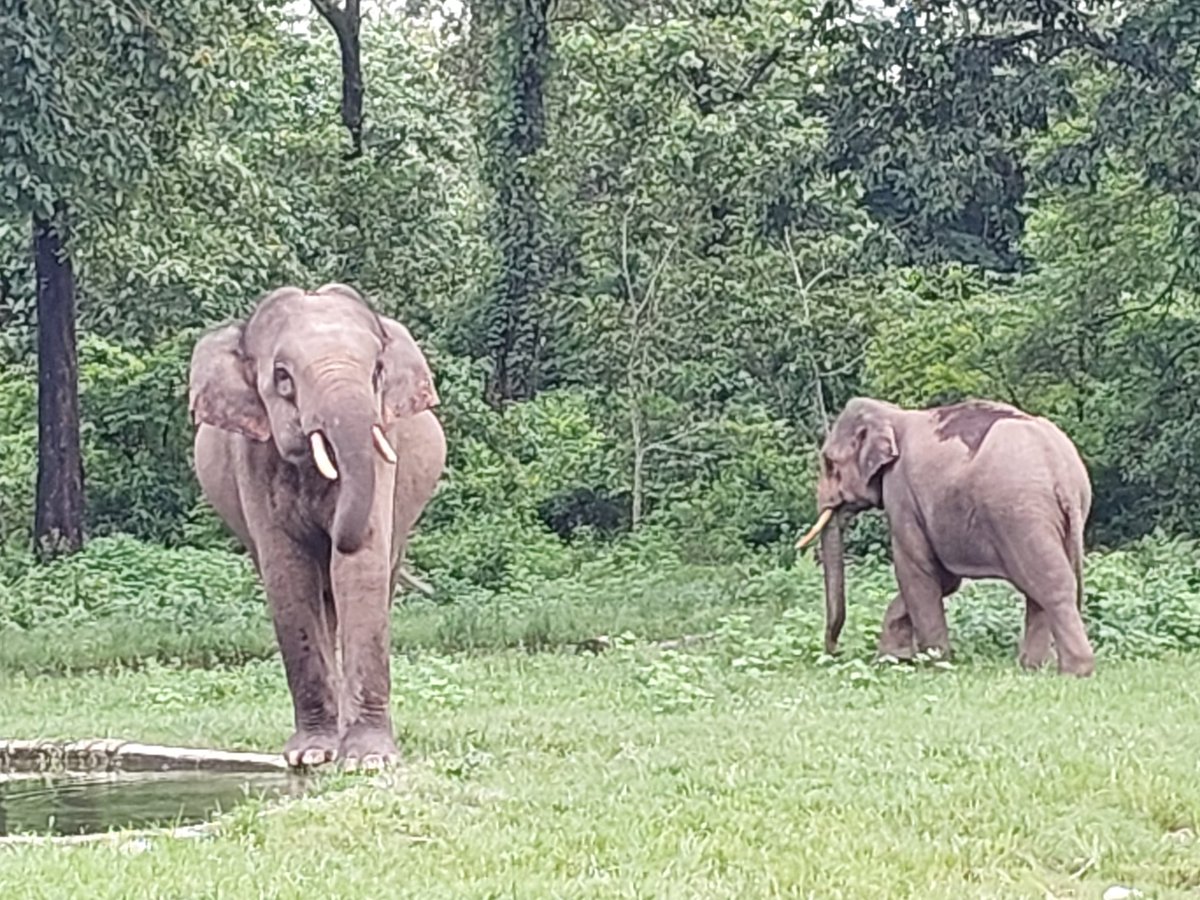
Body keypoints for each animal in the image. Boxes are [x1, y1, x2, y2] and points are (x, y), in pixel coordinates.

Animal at [188, 283, 446, 768]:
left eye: (377, 371)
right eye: (282, 377)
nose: (332, 534)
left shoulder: (384, 443)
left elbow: (360, 569)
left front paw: (368, 760)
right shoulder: (252, 454)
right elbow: (289, 574)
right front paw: (310, 756)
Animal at [795, 397, 1095, 677]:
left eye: (829, 463)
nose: (834, 652)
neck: (892, 414)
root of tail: (1062, 472)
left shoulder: (901, 494)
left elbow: (916, 572)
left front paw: (934, 663)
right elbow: (944, 580)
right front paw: (892, 660)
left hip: (1020, 514)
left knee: (1051, 586)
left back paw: (1075, 672)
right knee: (1039, 589)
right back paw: (1032, 668)